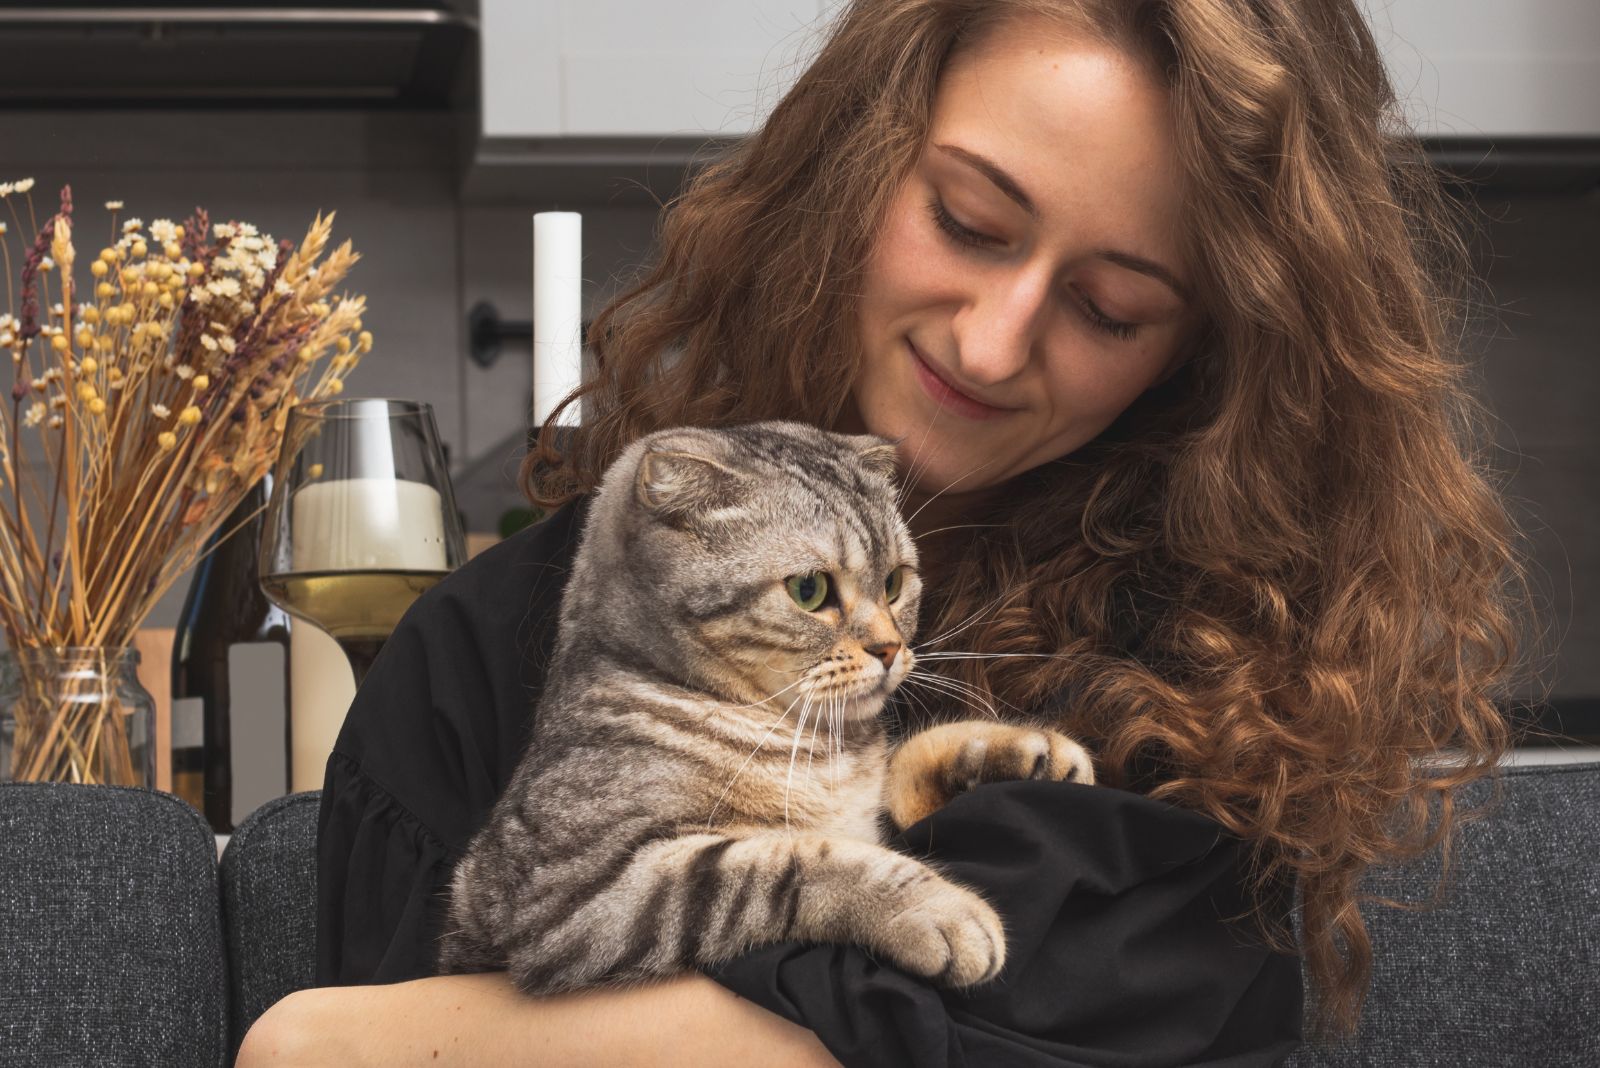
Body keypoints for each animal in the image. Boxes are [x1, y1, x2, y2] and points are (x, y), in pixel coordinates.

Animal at [432, 415, 1094, 991]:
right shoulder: (577, 898)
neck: (823, 745)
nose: (890, 648)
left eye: (895, 583)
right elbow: (792, 861)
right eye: (809, 590)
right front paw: (942, 911)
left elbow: (907, 764)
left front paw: (1030, 750)